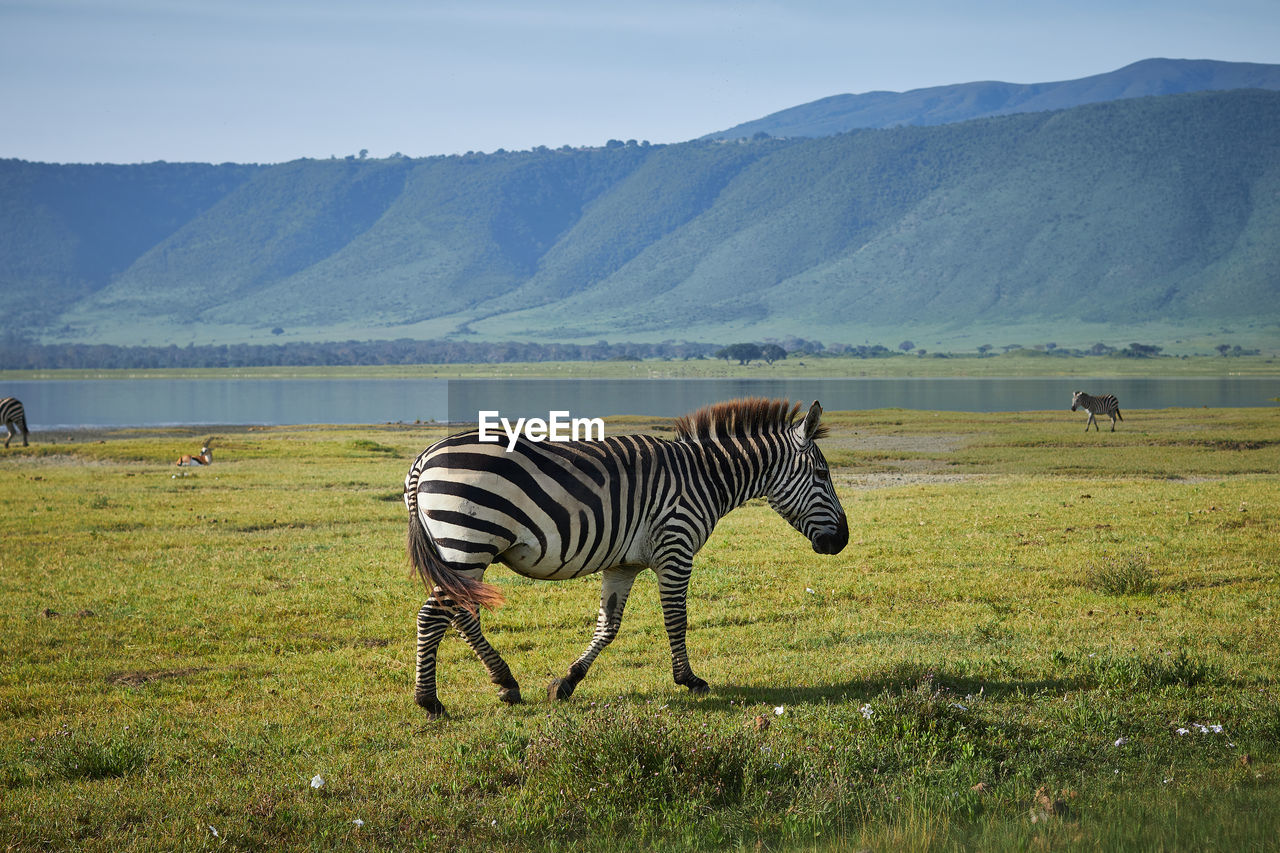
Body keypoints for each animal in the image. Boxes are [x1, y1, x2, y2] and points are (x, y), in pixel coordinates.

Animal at [399, 394, 849, 712]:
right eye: (823, 474)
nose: (842, 540)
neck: (704, 477)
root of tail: (423, 458)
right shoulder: (676, 547)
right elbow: (676, 619)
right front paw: (689, 680)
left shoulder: (624, 563)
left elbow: (608, 626)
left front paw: (567, 682)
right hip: (467, 544)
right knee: (435, 616)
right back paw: (434, 699)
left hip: (463, 551)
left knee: (456, 615)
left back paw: (496, 684)